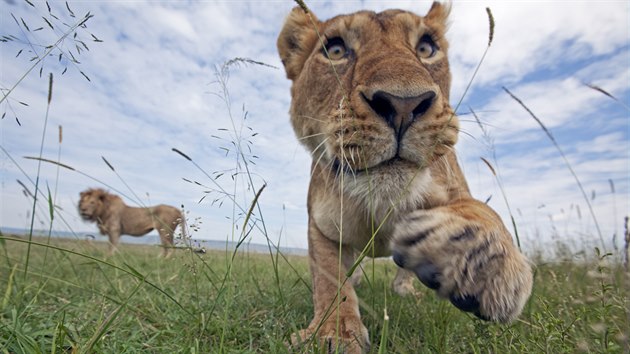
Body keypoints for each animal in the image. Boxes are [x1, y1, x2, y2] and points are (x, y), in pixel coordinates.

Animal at [278, 2, 536, 352]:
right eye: (335, 50)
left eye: (426, 48)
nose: (403, 105)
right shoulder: (321, 225)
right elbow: (329, 279)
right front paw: (333, 334)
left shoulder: (453, 188)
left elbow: (482, 210)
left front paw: (479, 262)